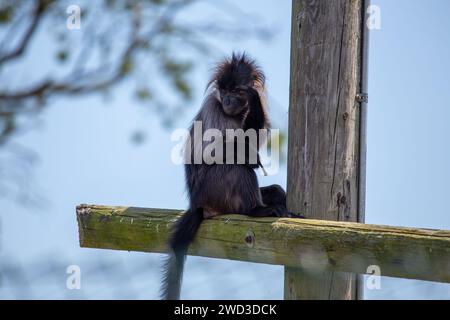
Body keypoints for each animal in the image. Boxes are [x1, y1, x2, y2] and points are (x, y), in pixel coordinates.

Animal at [160, 52, 300, 300]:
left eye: (235, 91)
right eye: (224, 92)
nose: (226, 100)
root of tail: (197, 203)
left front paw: (253, 100)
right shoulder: (213, 107)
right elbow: (210, 152)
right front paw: (250, 157)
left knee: (271, 189)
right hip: (214, 190)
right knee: (235, 167)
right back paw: (256, 210)